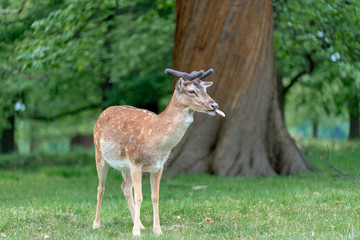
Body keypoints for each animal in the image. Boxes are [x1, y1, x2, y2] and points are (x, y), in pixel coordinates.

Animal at [92, 68, 225, 236]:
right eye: (191, 91)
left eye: (205, 90)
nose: (214, 105)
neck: (156, 139)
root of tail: (103, 112)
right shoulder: (136, 162)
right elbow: (140, 197)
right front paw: (136, 232)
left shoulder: (158, 166)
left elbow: (155, 196)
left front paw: (157, 230)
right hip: (99, 152)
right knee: (101, 187)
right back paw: (96, 224)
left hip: (124, 166)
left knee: (125, 187)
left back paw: (140, 224)